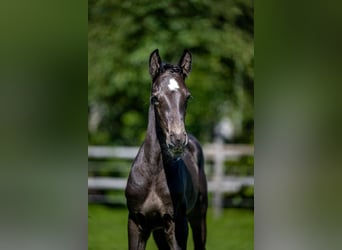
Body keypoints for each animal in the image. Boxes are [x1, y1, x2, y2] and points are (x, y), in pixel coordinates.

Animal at [125, 49, 207, 249]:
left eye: (188, 96)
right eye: (155, 97)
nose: (177, 140)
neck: (153, 173)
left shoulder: (178, 225)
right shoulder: (136, 223)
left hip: (199, 216)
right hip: (158, 232)